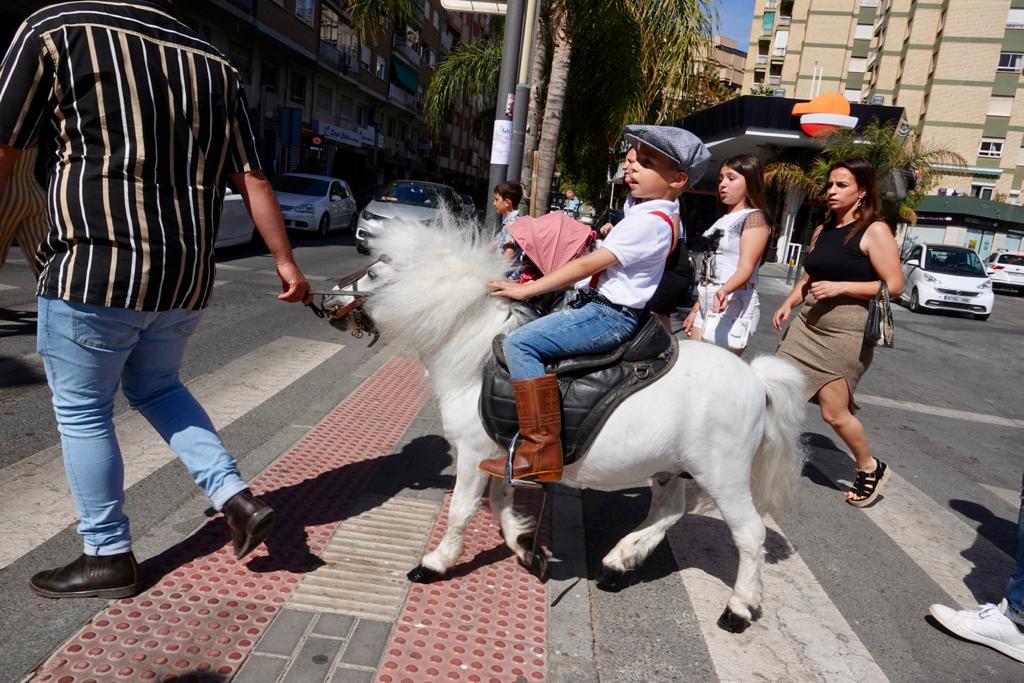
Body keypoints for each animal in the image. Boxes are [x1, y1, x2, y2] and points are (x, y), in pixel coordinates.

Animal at [335, 215, 806, 634]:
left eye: (374, 272)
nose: (329, 302)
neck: (472, 353)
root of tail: (756, 378)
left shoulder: (472, 453)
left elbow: (461, 510)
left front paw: (435, 563)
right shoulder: (501, 454)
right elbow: (501, 503)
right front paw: (527, 548)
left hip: (723, 474)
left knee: (750, 535)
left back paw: (738, 609)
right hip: (670, 468)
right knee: (669, 510)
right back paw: (617, 563)